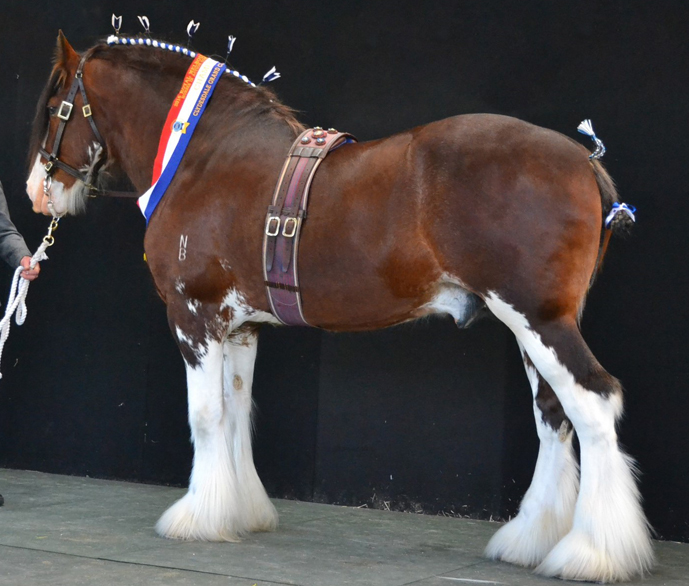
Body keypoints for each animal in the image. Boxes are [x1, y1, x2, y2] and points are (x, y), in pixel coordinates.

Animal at [25, 31, 653, 583]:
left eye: (56, 106)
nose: (36, 192)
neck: (203, 159)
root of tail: (582, 160)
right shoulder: (240, 327)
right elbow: (236, 414)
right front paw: (241, 512)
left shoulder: (193, 317)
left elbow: (205, 417)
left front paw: (197, 518)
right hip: (532, 327)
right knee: (553, 415)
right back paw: (531, 540)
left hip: (539, 320)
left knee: (593, 404)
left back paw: (592, 554)